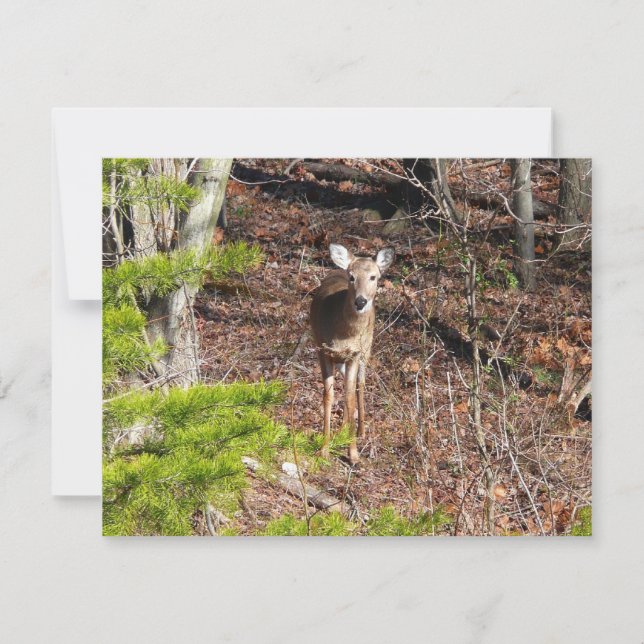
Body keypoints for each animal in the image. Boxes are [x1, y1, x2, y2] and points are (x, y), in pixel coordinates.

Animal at [310, 243, 395, 465]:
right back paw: (342, 431)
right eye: (352, 276)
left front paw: (353, 454)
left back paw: (360, 430)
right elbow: (329, 396)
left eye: (374, 277)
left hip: (367, 349)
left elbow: (349, 397)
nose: (360, 301)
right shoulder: (323, 350)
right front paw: (324, 449)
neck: (344, 334)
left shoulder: (355, 354)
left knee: (360, 385)